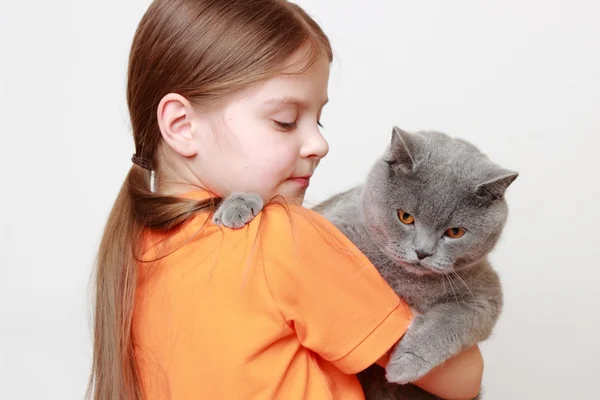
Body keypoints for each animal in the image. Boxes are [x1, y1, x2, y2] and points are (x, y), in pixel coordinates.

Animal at [213, 127, 516, 396]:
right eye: (405, 217)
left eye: (455, 232)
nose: (422, 252)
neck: (405, 279)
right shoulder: (327, 224)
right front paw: (239, 204)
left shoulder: (486, 293)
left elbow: (453, 320)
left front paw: (406, 363)